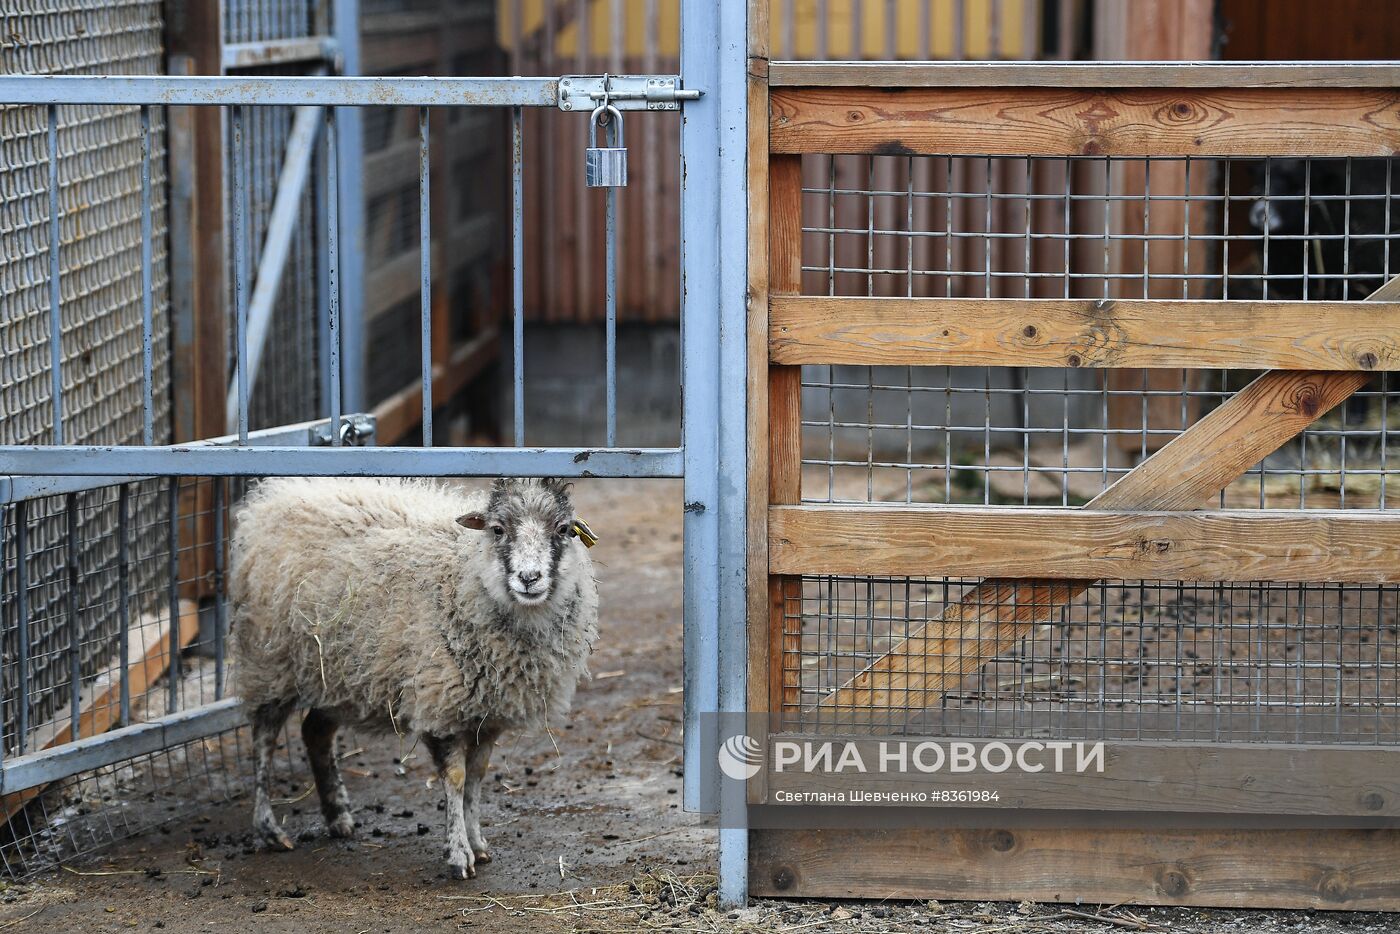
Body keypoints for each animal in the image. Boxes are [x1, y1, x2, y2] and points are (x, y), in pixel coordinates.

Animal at [231, 478, 602, 879]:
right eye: (497, 529)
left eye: (563, 530)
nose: (529, 578)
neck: (466, 574)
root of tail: (276, 495)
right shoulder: (442, 702)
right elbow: (456, 780)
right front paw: (459, 853)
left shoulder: (486, 713)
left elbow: (477, 778)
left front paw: (478, 843)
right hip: (270, 661)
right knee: (264, 738)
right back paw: (269, 828)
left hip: (335, 673)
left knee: (315, 731)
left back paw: (338, 816)